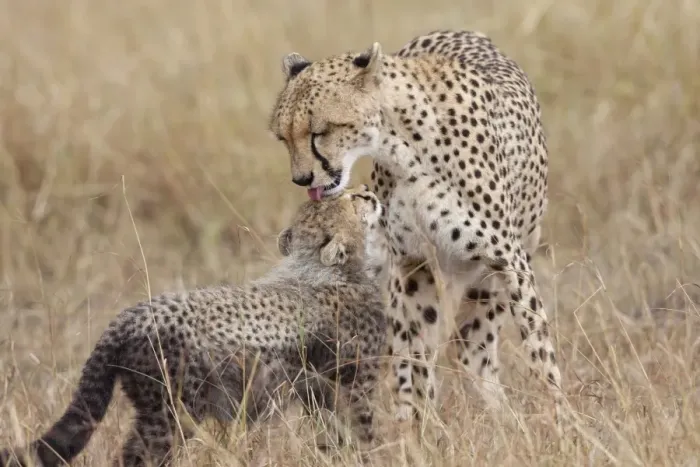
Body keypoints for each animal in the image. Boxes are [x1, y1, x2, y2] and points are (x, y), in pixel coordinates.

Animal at [0, 185, 388, 467]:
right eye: (354, 200)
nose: (368, 190)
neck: (319, 268)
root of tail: (127, 317)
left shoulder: (318, 391)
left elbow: (331, 438)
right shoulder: (353, 388)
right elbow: (365, 435)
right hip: (171, 412)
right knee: (137, 456)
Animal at [268, 29, 566, 431]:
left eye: (320, 131)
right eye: (284, 137)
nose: (302, 179)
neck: (405, 147)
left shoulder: (507, 260)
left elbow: (540, 351)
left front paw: (565, 424)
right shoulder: (413, 264)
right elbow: (416, 356)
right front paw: (420, 428)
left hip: (488, 280)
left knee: (474, 350)